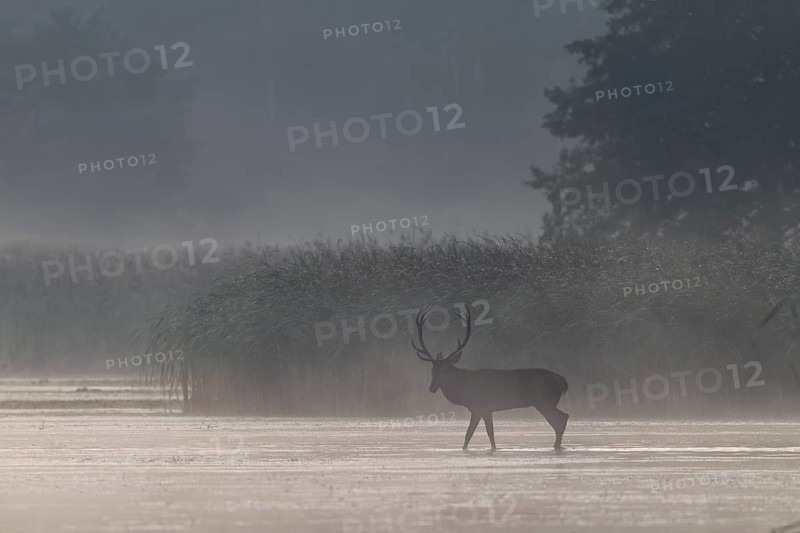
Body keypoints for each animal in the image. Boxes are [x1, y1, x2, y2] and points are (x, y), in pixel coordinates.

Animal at [411, 306, 570, 451]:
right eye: (433, 370)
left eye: (445, 369)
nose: (431, 388)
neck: (465, 389)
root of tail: (562, 380)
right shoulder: (485, 409)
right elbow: (487, 434)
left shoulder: (480, 406)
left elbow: (471, 433)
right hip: (545, 402)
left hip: (544, 401)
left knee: (562, 418)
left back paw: (556, 446)